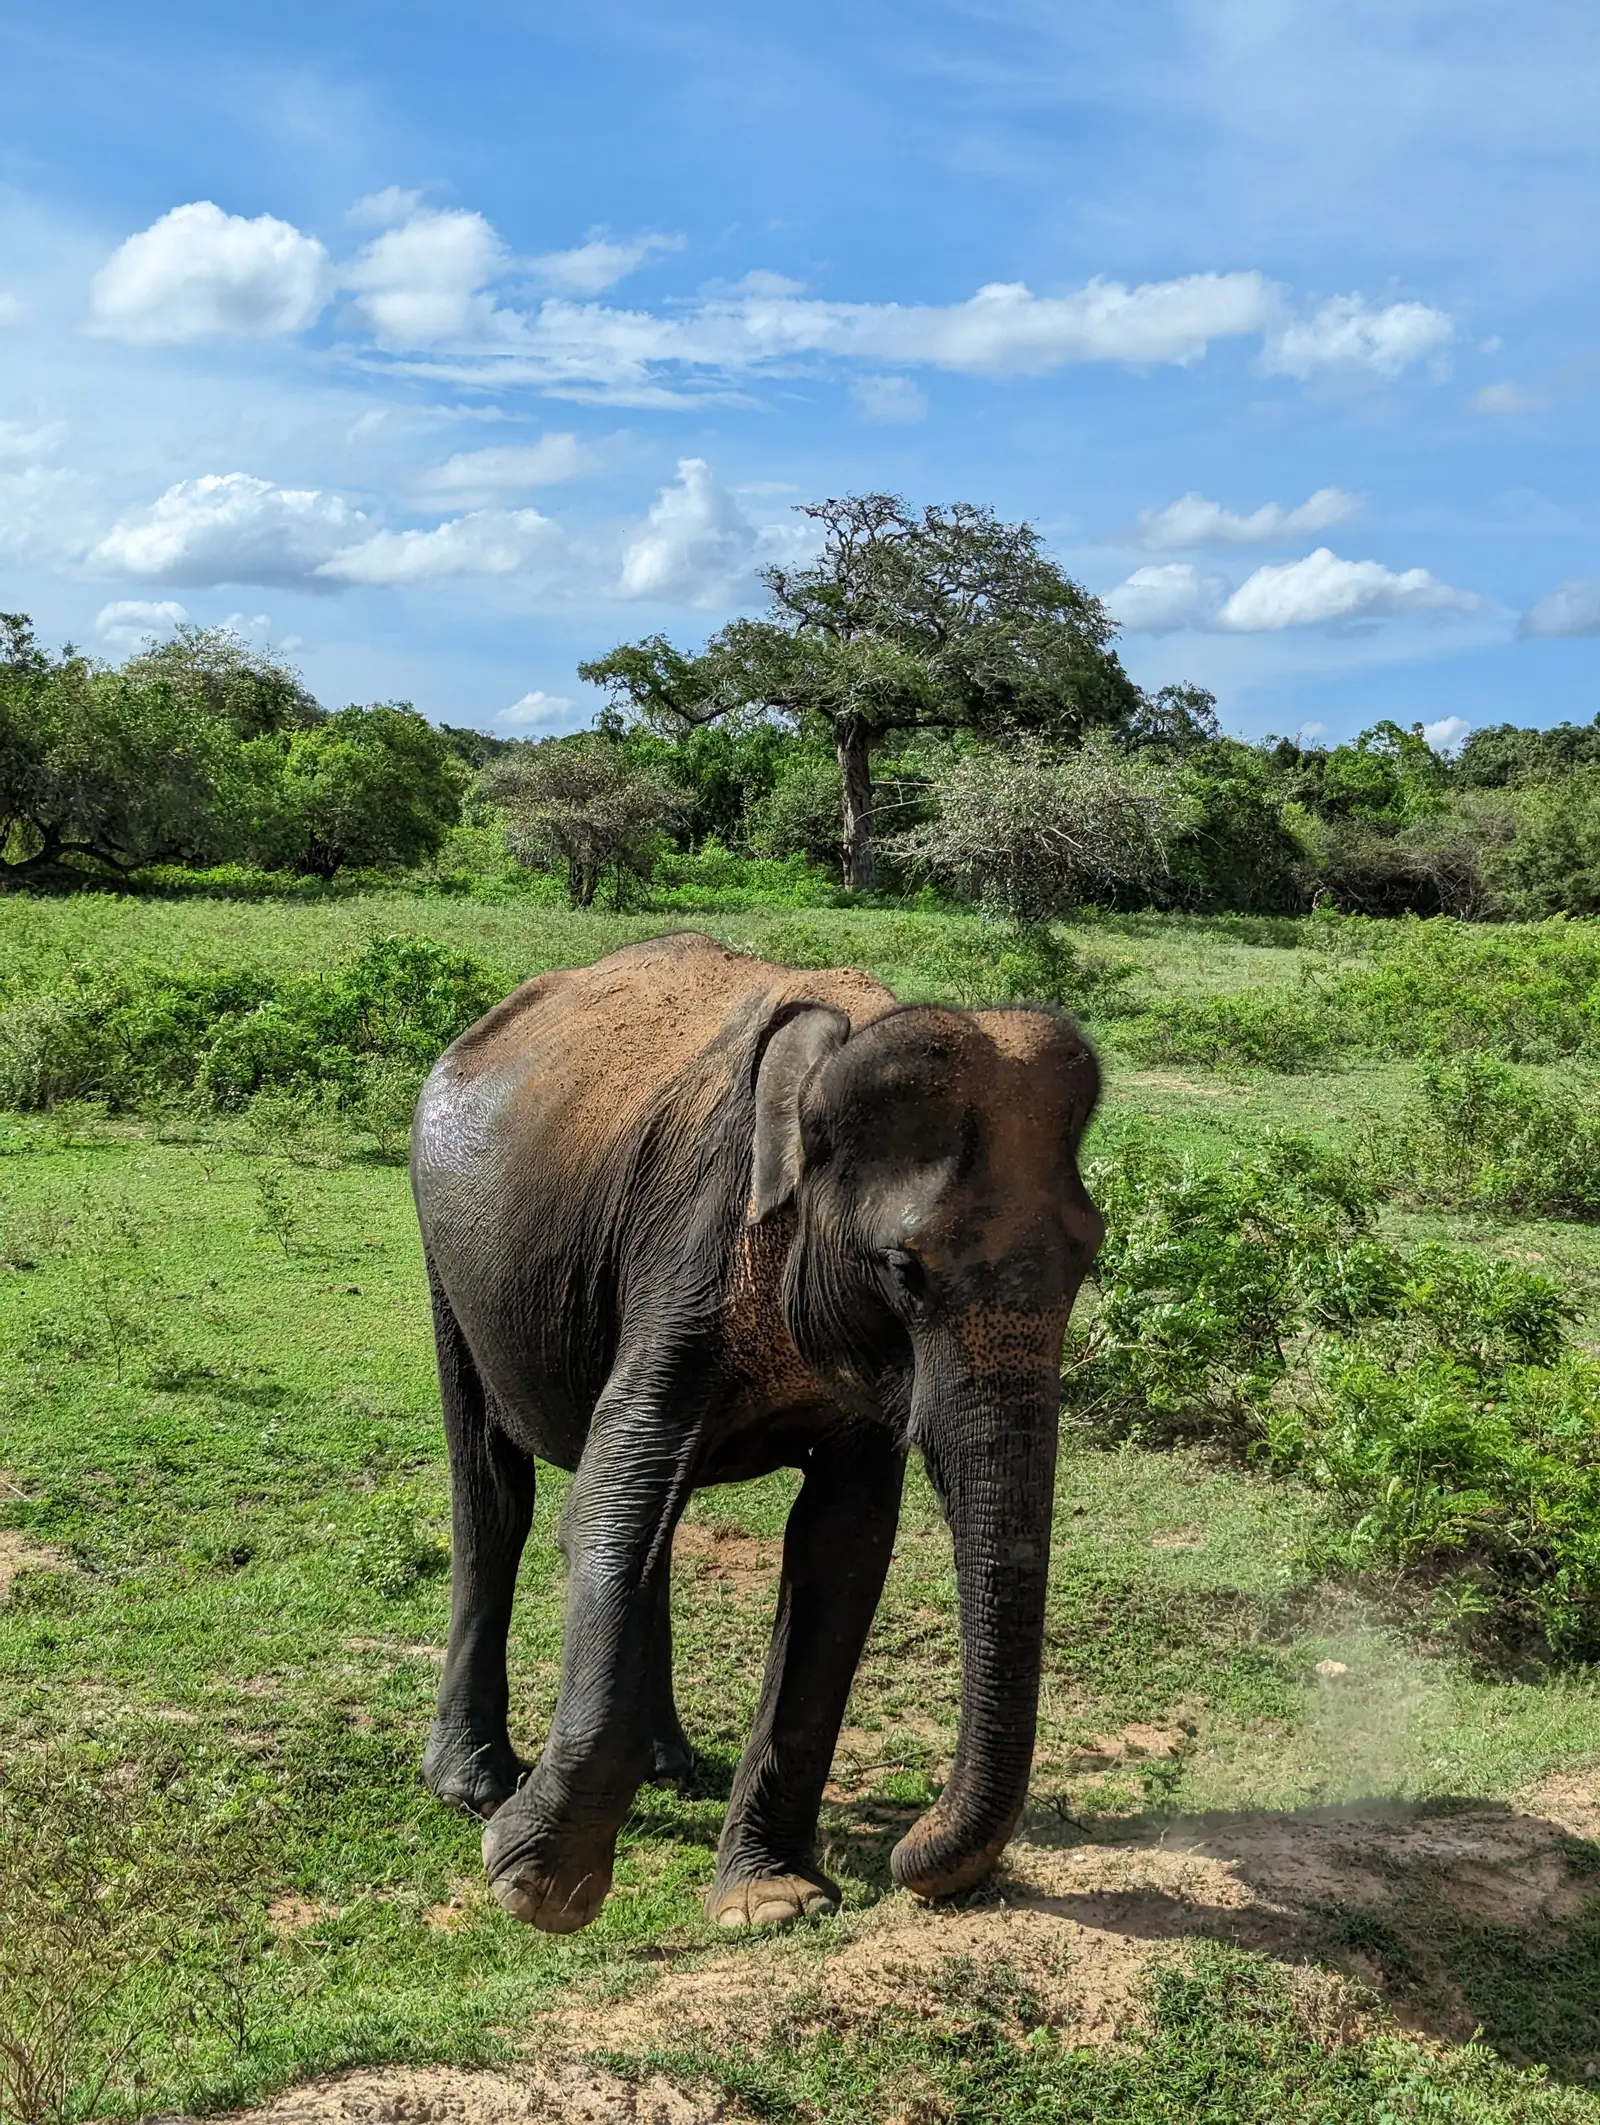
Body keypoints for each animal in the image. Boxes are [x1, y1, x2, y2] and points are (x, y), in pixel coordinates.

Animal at [409, 932, 1102, 1935]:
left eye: (1091, 1255)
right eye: (903, 1268)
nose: (909, 1854)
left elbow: (841, 1545)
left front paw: (772, 1901)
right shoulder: (687, 1250)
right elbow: (613, 1496)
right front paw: (534, 1883)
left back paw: (671, 1765)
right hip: (445, 1258)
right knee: (495, 1495)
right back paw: (473, 1786)